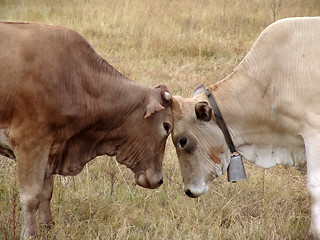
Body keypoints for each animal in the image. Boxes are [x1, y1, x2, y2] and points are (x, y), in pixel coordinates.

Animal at [0, 22, 174, 238]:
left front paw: (48, 227)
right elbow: (31, 196)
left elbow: (46, 192)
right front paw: (29, 234)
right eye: (167, 126)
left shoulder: (50, 146)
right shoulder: (31, 143)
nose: (159, 180)